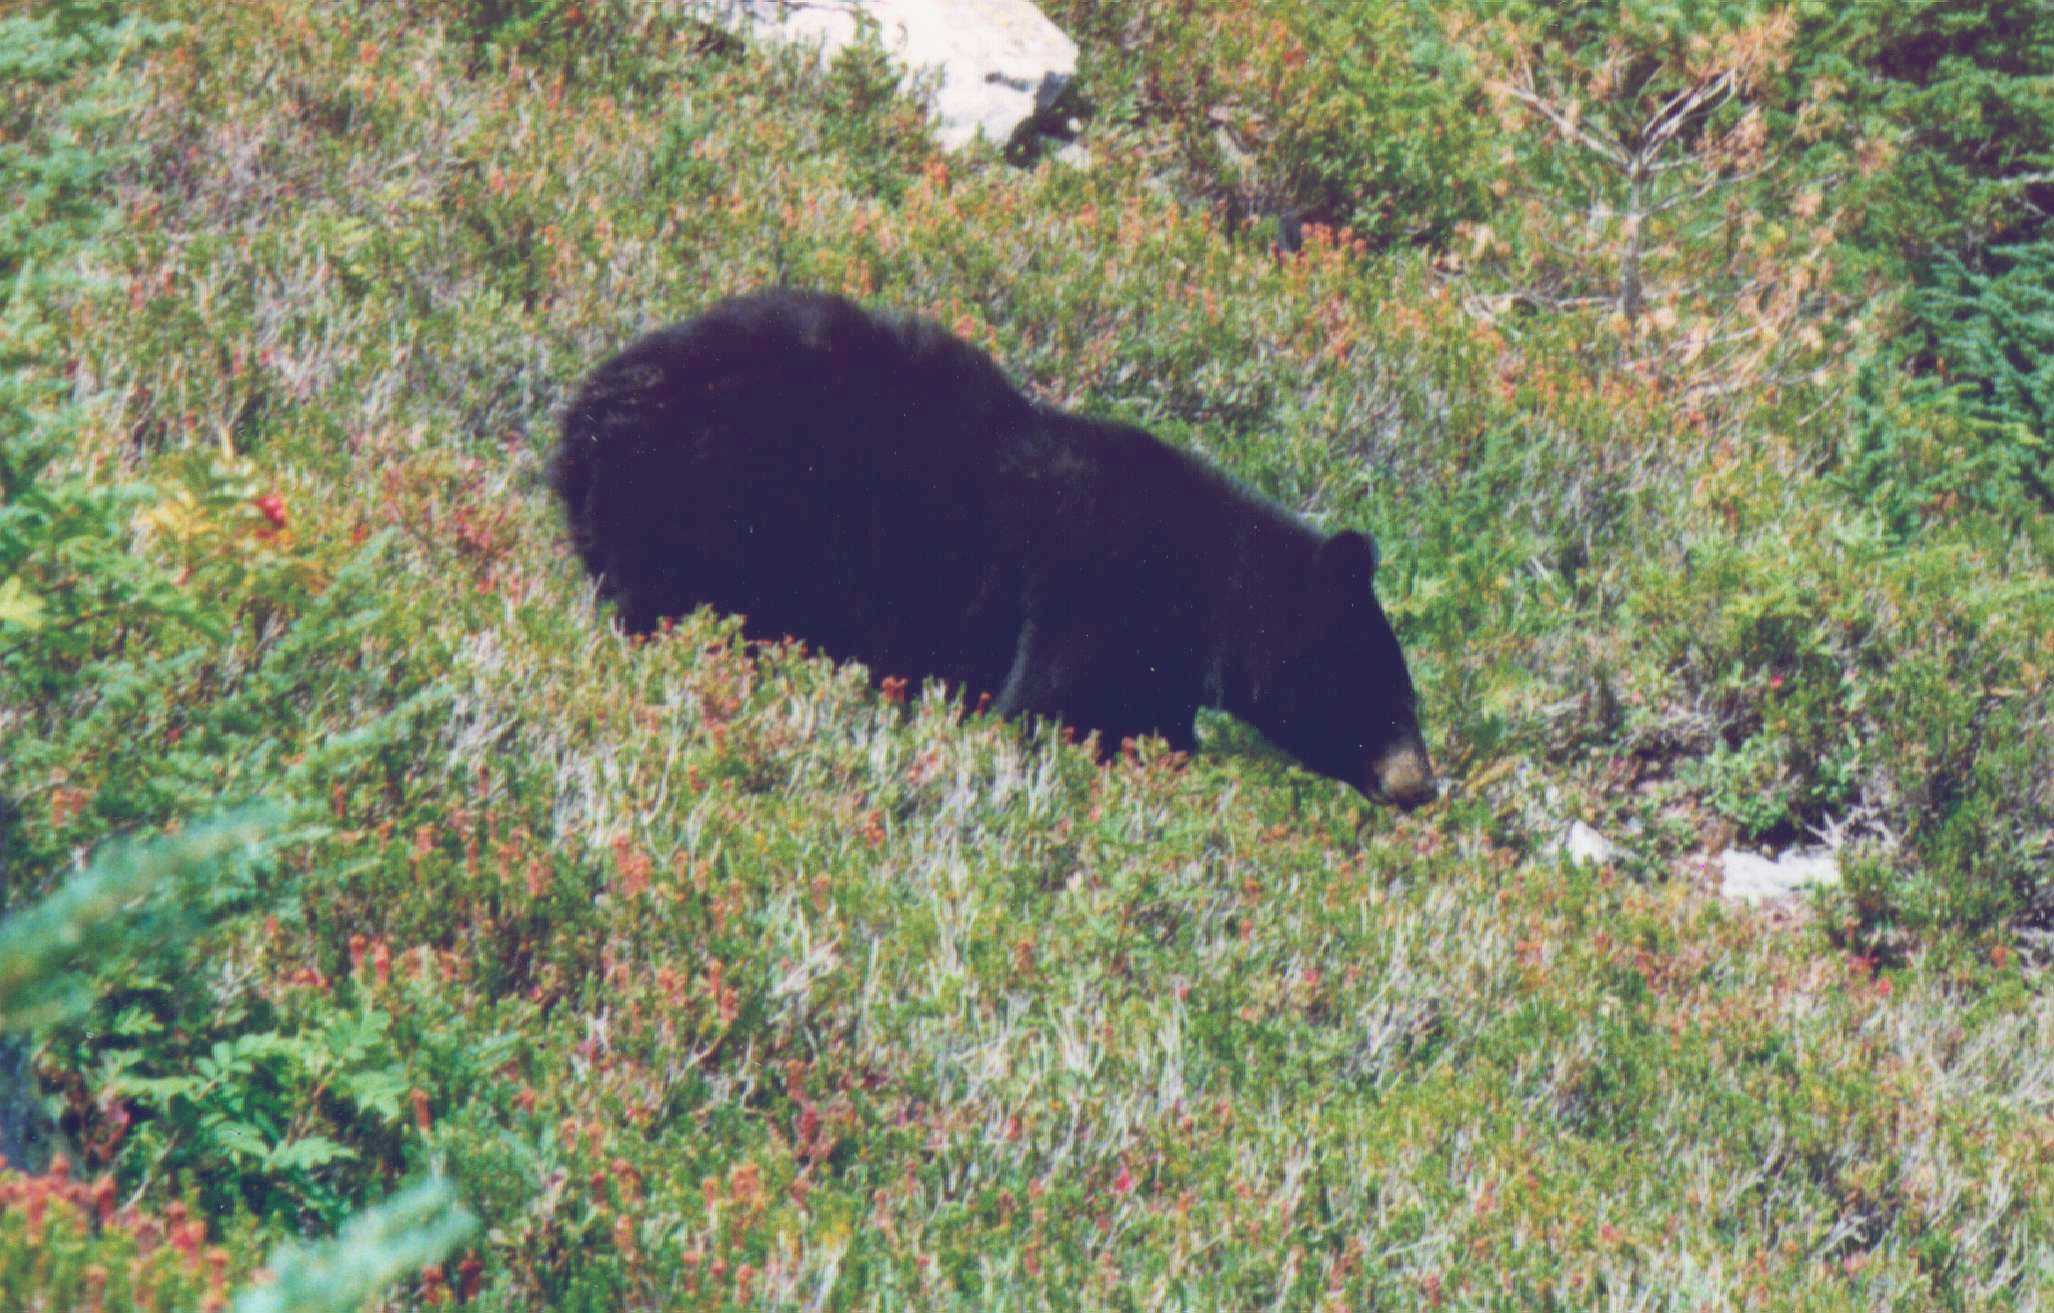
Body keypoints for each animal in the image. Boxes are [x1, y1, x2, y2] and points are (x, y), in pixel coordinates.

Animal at [551, 289, 1436, 808]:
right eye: (1387, 691)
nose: (1421, 784)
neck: (1200, 587)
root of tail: (579, 416)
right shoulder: (1089, 594)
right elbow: (1056, 707)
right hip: (704, 508)